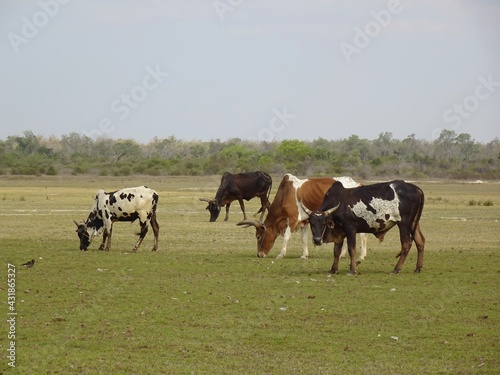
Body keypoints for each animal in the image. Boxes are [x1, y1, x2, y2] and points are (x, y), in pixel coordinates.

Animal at [238, 174, 368, 260]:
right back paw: (343, 255)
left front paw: (281, 254)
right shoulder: (304, 221)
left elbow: (286, 237)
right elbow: (304, 239)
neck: (285, 194)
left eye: (258, 236)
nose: (259, 254)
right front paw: (304, 255)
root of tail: (357, 184)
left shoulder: (292, 219)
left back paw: (361, 256)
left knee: (362, 234)